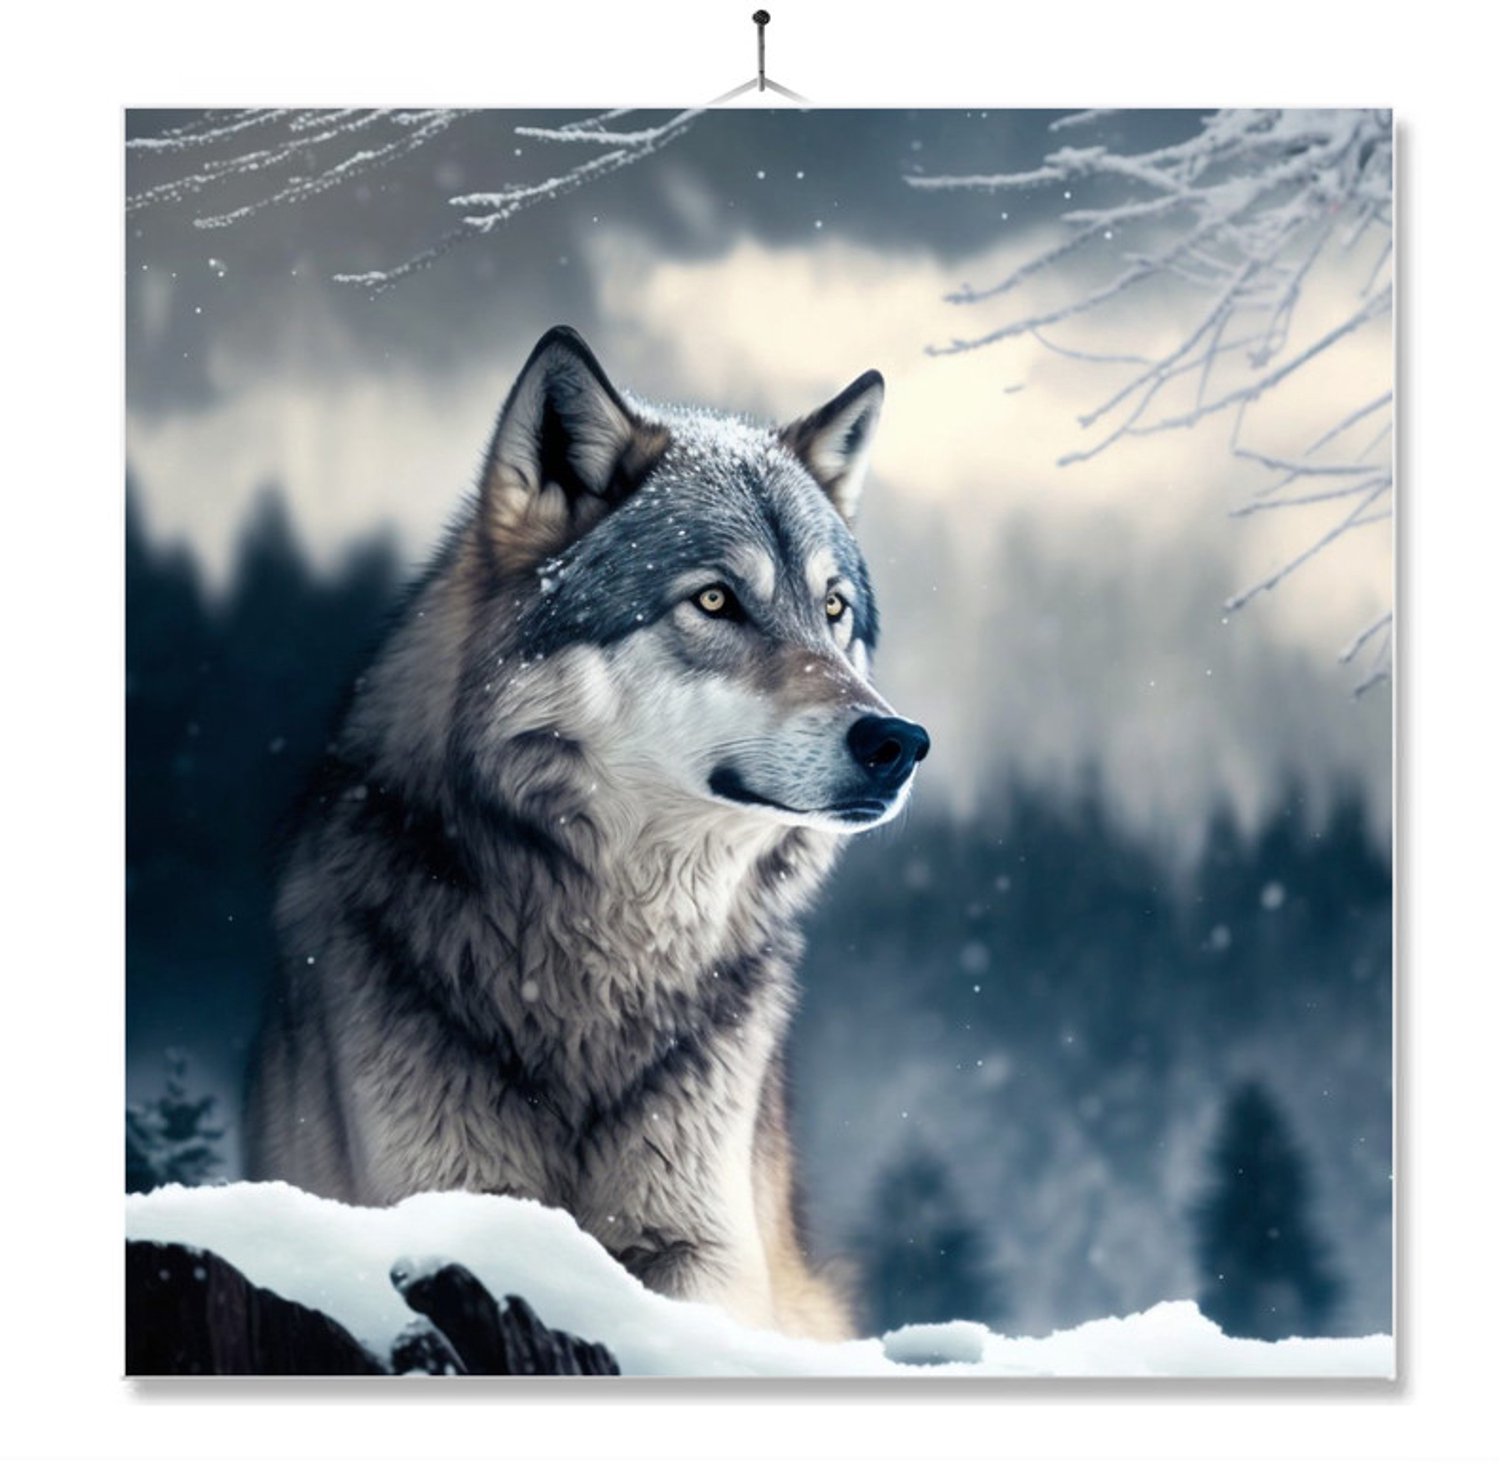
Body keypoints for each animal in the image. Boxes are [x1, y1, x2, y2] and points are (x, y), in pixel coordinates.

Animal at [244, 326, 930, 1340]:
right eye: (716, 601)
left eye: (834, 609)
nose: (899, 742)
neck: (606, 964)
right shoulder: (441, 1198)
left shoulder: (703, 1246)